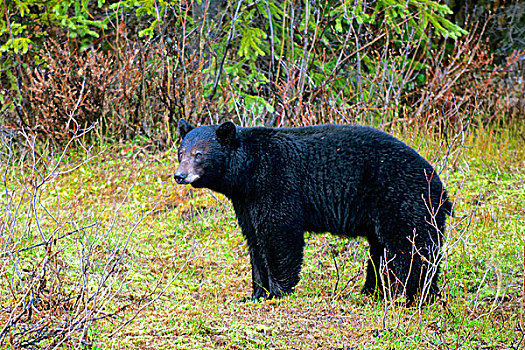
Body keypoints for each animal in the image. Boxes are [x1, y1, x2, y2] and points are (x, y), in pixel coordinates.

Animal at [175, 118, 450, 304]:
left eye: (198, 154)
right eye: (181, 152)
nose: (179, 175)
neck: (248, 171)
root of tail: (439, 187)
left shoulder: (275, 182)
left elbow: (278, 234)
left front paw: (278, 292)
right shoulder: (246, 202)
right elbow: (254, 241)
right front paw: (255, 293)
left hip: (402, 199)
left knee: (411, 248)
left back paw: (413, 294)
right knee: (381, 251)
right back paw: (375, 291)